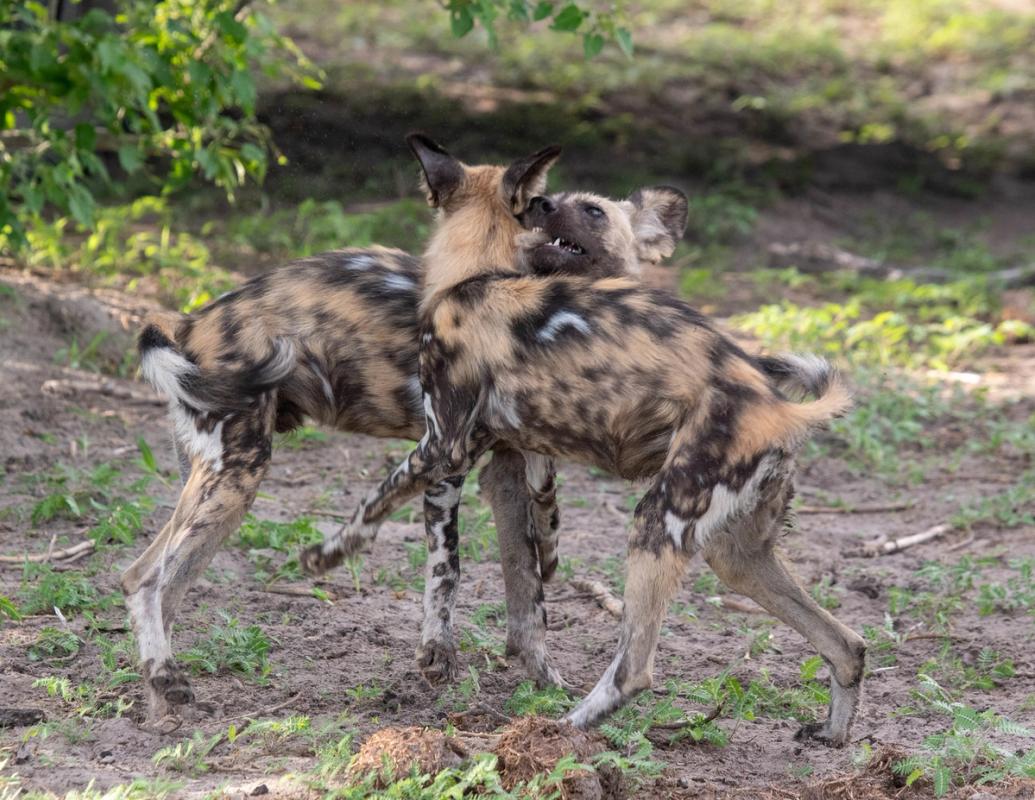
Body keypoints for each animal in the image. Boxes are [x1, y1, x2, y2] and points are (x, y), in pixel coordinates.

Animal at [126, 137, 575, 724]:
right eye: (543, 205)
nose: (561, 209)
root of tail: (189, 322)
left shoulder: (503, 475)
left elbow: (528, 594)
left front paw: (544, 682)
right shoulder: (445, 464)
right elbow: (449, 570)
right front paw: (439, 658)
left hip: (215, 487)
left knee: (152, 584)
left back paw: (162, 708)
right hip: (238, 478)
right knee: (149, 582)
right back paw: (167, 685)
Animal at [304, 166, 865, 741]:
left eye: (592, 211)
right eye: (544, 199)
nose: (542, 206)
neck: (476, 276)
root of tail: (781, 408)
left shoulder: (444, 446)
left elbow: (382, 509)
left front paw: (327, 554)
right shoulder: (507, 466)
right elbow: (521, 577)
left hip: (658, 521)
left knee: (634, 668)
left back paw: (561, 728)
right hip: (738, 556)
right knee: (848, 645)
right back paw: (833, 732)